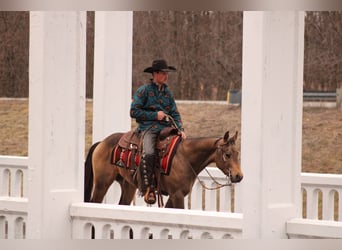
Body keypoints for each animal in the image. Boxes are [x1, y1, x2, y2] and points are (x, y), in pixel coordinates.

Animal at [84, 129, 242, 209]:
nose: (238, 176)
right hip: (102, 184)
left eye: (237, 153)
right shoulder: (177, 195)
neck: (185, 157)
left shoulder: (175, 195)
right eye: (227, 154)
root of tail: (101, 143)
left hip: (128, 185)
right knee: (94, 202)